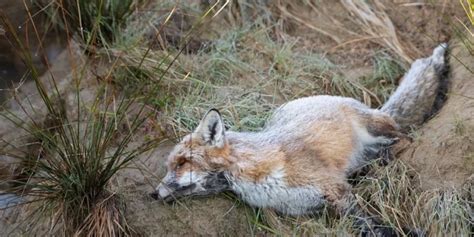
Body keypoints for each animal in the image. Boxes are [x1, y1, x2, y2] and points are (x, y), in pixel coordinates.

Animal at [150, 44, 446, 235]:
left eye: (181, 163)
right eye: (169, 166)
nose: (152, 194)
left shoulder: (335, 190)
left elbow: (372, 225)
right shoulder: (311, 207)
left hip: (377, 128)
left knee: (406, 138)